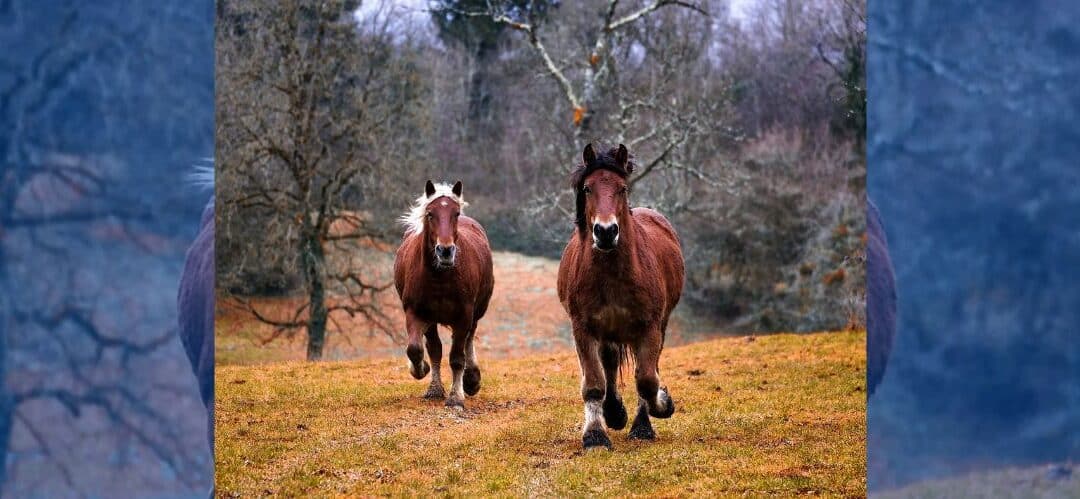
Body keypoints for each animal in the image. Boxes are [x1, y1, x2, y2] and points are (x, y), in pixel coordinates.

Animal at [393, 181, 494, 408]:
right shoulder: (416, 312)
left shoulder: (463, 316)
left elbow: (457, 357)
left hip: (476, 312)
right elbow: (416, 349)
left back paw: (471, 380)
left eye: (455, 213)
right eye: (430, 214)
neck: (439, 277)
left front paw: (456, 397)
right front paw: (422, 371)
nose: (445, 251)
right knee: (435, 348)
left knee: (469, 339)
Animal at [557, 142, 682, 449]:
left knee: (645, 369)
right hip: (608, 332)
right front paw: (595, 435)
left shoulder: (649, 327)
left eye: (622, 188)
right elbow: (594, 383)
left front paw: (661, 407)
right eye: (588, 188)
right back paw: (613, 412)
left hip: (657, 326)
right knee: (610, 364)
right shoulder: (584, 329)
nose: (605, 231)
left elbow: (647, 380)